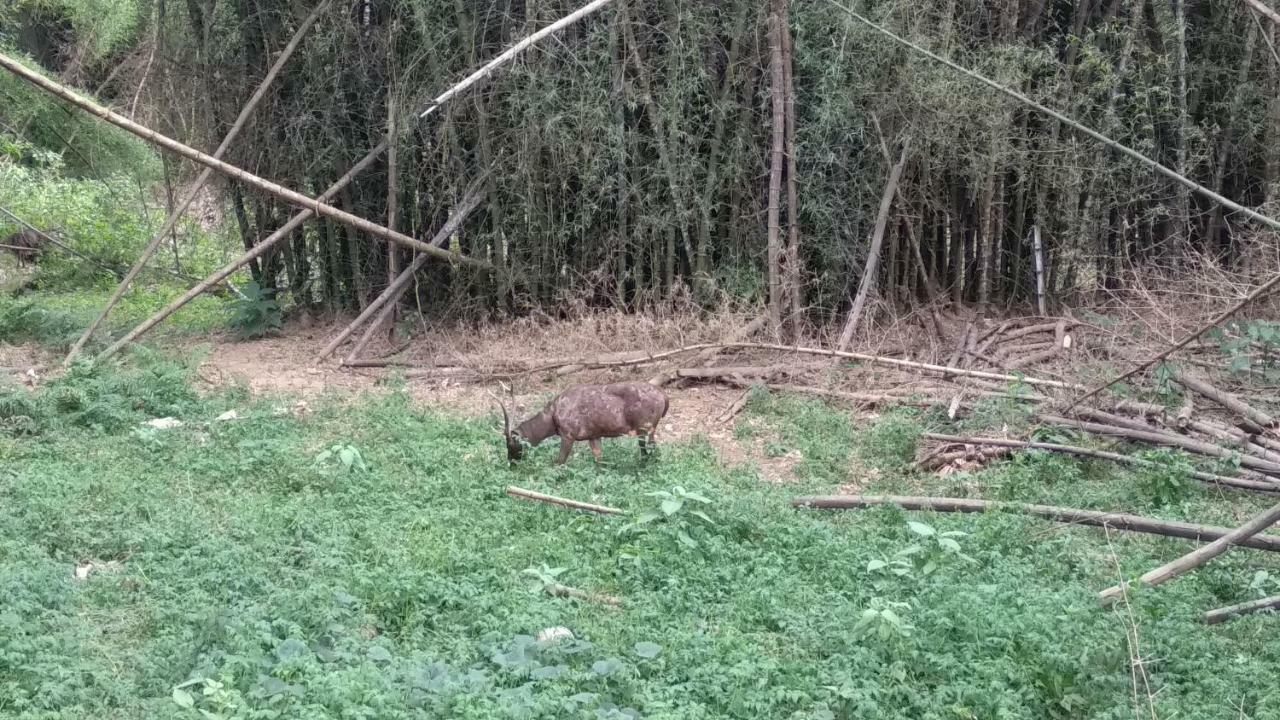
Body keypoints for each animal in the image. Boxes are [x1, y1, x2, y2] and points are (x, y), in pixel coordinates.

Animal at [501, 381, 670, 466]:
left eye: (510, 444)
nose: (511, 463)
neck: (552, 421)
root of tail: (664, 396)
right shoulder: (593, 435)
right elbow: (599, 461)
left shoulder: (569, 433)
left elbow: (559, 462)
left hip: (645, 424)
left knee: (649, 449)